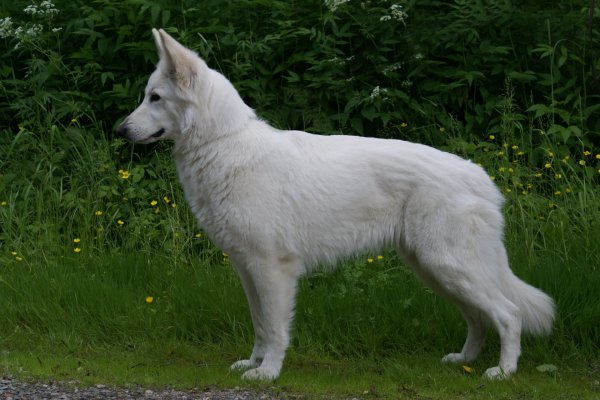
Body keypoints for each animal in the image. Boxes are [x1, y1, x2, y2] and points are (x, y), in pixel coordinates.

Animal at [119, 28, 556, 382]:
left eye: (155, 98)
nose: (120, 129)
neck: (223, 144)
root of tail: (480, 177)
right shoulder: (247, 269)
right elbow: (259, 325)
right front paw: (253, 364)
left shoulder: (272, 269)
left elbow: (275, 328)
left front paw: (268, 373)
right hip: (434, 270)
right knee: (478, 317)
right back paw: (463, 360)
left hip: (447, 266)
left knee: (509, 314)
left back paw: (502, 371)